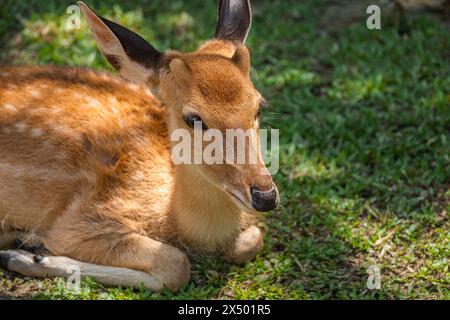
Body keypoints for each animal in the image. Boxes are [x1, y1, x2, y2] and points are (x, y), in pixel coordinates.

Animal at [0, 0, 280, 292]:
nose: (265, 196)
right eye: (193, 118)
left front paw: (28, 249)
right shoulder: (82, 220)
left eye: (258, 106)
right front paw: (28, 253)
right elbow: (175, 264)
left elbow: (254, 237)